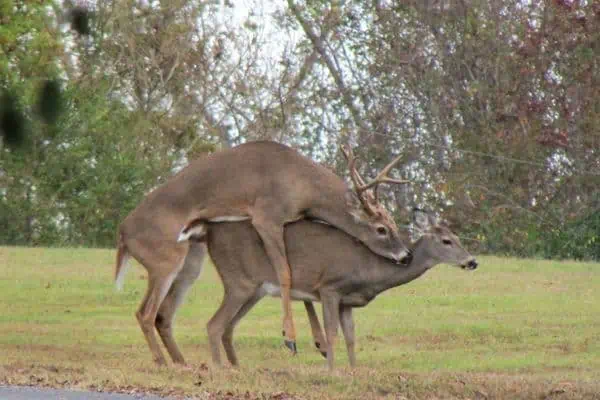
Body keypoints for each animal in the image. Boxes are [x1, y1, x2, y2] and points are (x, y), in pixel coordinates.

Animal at [114, 140, 410, 366]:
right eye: (381, 229)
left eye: (394, 224)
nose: (405, 255)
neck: (303, 186)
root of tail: (123, 234)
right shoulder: (267, 216)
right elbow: (285, 273)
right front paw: (290, 338)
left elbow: (299, 282)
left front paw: (320, 343)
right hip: (165, 257)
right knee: (145, 312)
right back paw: (163, 362)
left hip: (192, 259)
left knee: (163, 314)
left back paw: (182, 362)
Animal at [202, 208, 478, 370]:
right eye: (446, 241)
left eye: (458, 237)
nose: (472, 261)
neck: (371, 269)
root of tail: (209, 233)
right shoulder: (329, 288)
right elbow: (332, 331)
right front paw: (332, 372)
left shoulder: (347, 302)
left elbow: (351, 337)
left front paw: (354, 371)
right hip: (238, 281)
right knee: (214, 324)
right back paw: (220, 370)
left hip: (253, 290)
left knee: (228, 327)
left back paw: (237, 368)